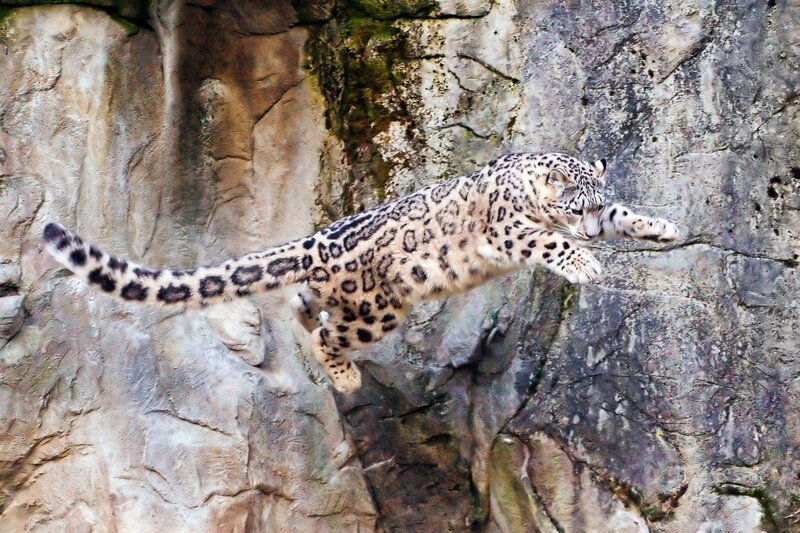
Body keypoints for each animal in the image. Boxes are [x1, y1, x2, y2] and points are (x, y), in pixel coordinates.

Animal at [43, 152, 679, 394]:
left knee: (305, 306)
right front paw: (586, 263)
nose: (590, 233)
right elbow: (543, 238)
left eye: (599, 204)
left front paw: (661, 227)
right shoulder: (508, 229)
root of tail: (316, 240)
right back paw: (346, 378)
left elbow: (629, 217)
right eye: (576, 207)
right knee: (328, 334)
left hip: (347, 298)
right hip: (378, 308)